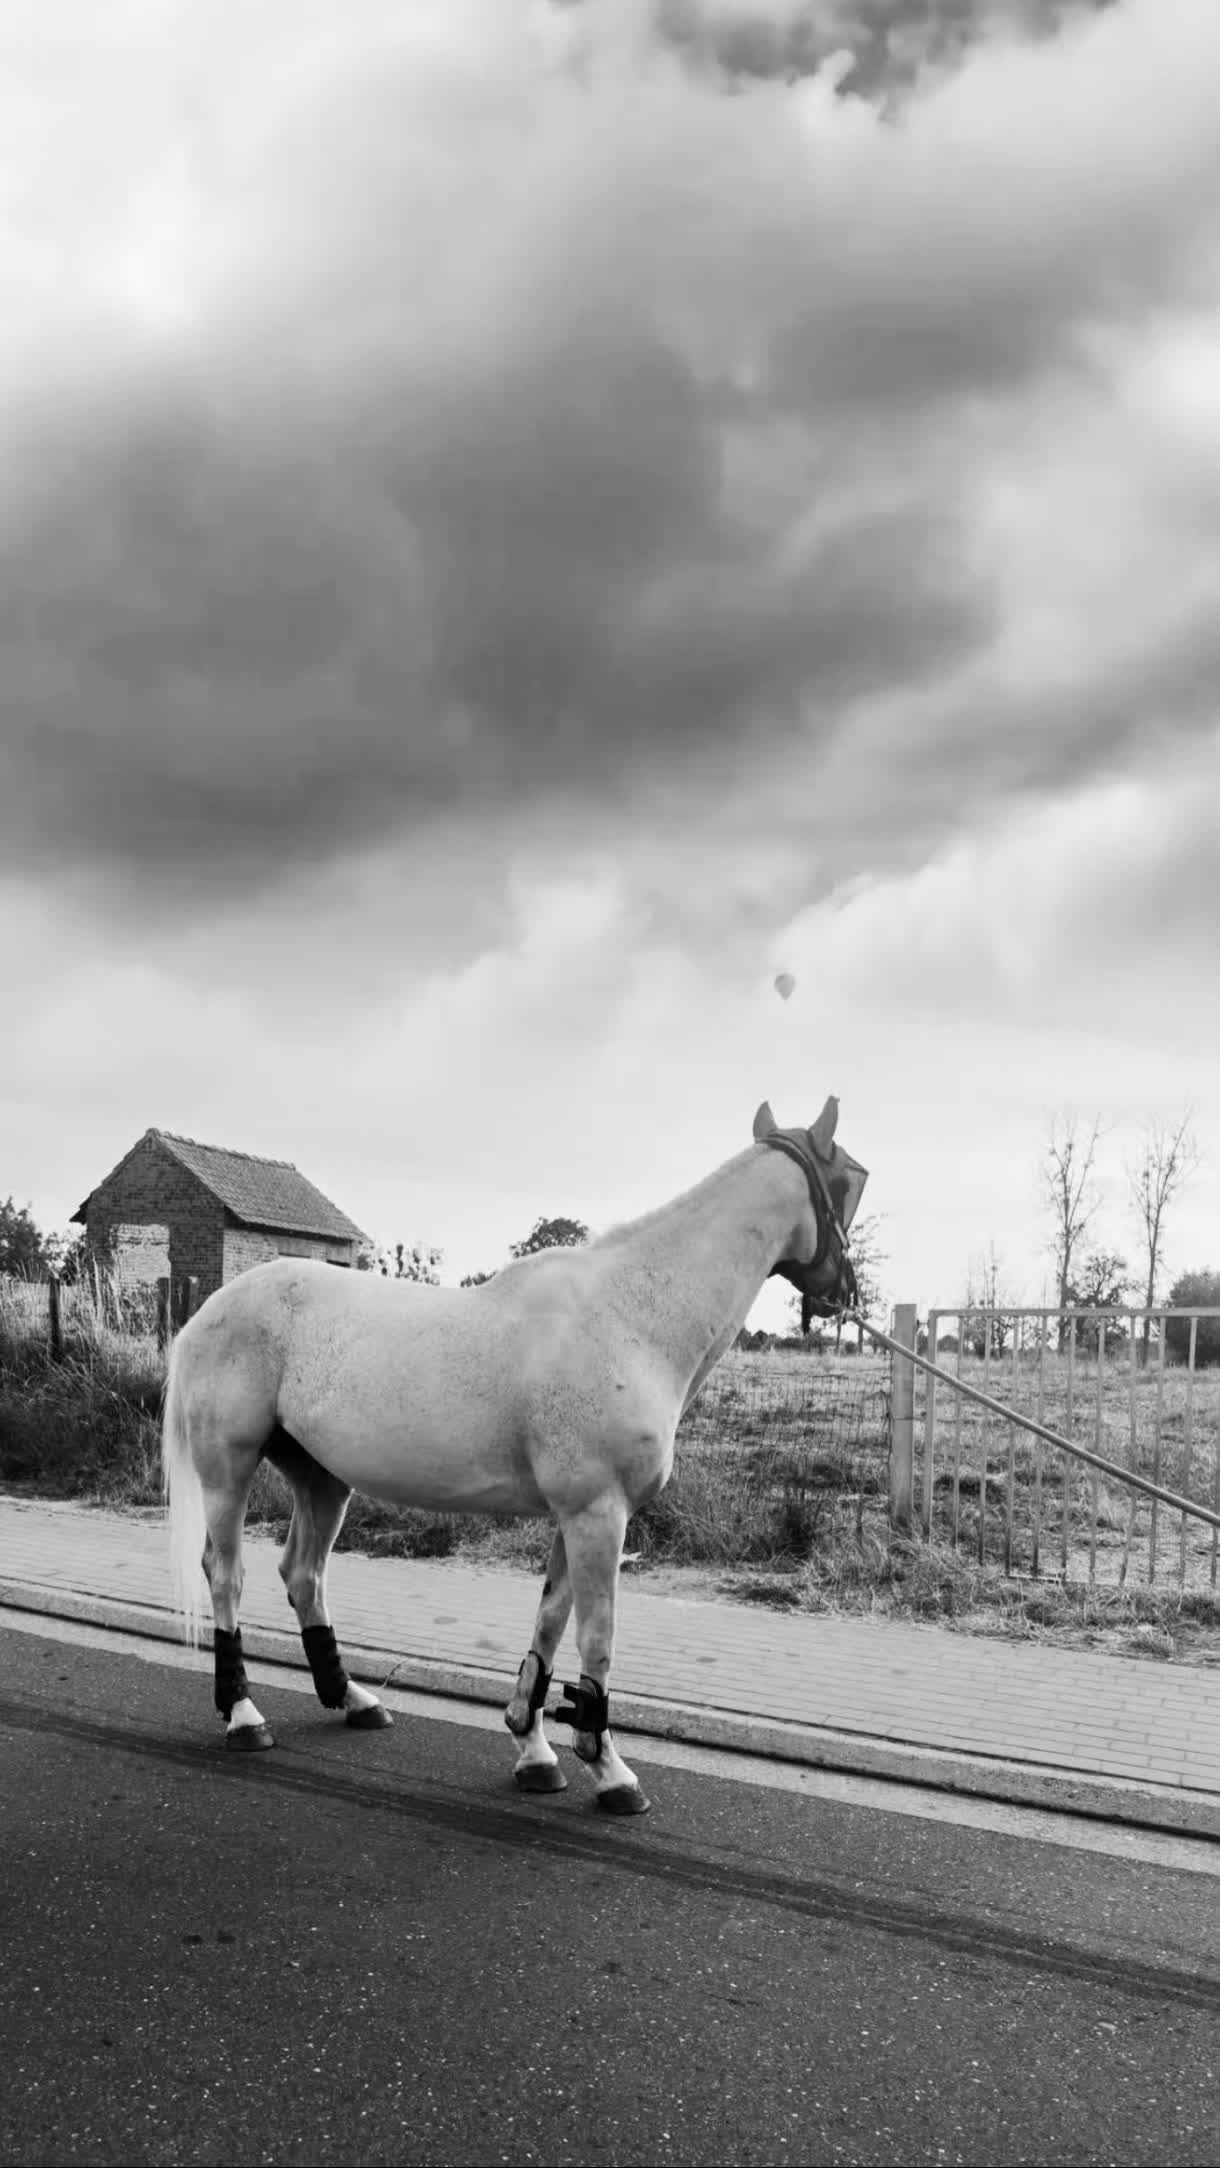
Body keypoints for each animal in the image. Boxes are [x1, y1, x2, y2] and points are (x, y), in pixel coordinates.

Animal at [162, 1096, 867, 1815]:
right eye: (852, 1179)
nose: (845, 1292)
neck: (633, 1314)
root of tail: (207, 1312)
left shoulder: (578, 1515)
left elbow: (551, 1621)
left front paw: (533, 1748)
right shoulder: (598, 1513)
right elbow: (596, 1636)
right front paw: (608, 1769)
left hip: (323, 1479)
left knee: (304, 1575)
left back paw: (353, 1700)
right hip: (228, 1471)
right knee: (226, 1575)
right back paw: (244, 1716)